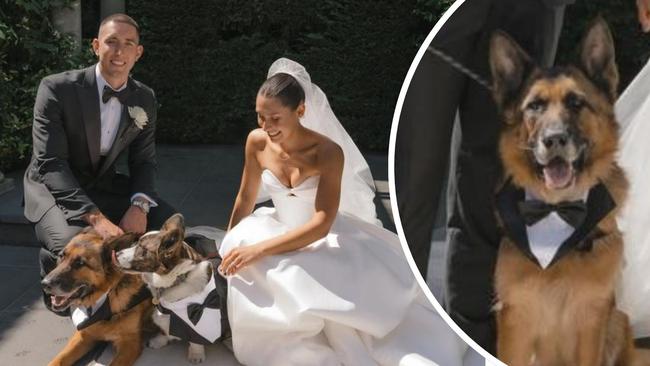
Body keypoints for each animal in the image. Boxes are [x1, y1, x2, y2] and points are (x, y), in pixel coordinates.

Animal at [41, 229, 152, 366]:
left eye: (80, 263)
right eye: (62, 256)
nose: (44, 284)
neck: (109, 297)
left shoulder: (130, 344)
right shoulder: (84, 335)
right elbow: (59, 359)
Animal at [114, 213, 228, 364]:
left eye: (142, 249)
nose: (116, 254)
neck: (178, 278)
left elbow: (196, 341)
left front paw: (196, 355)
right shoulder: (162, 313)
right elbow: (165, 330)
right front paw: (159, 341)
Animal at [488, 17, 644, 366]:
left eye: (576, 102)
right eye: (534, 106)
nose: (554, 139)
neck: (556, 211)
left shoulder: (592, 320)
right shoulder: (516, 321)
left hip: (618, 321)